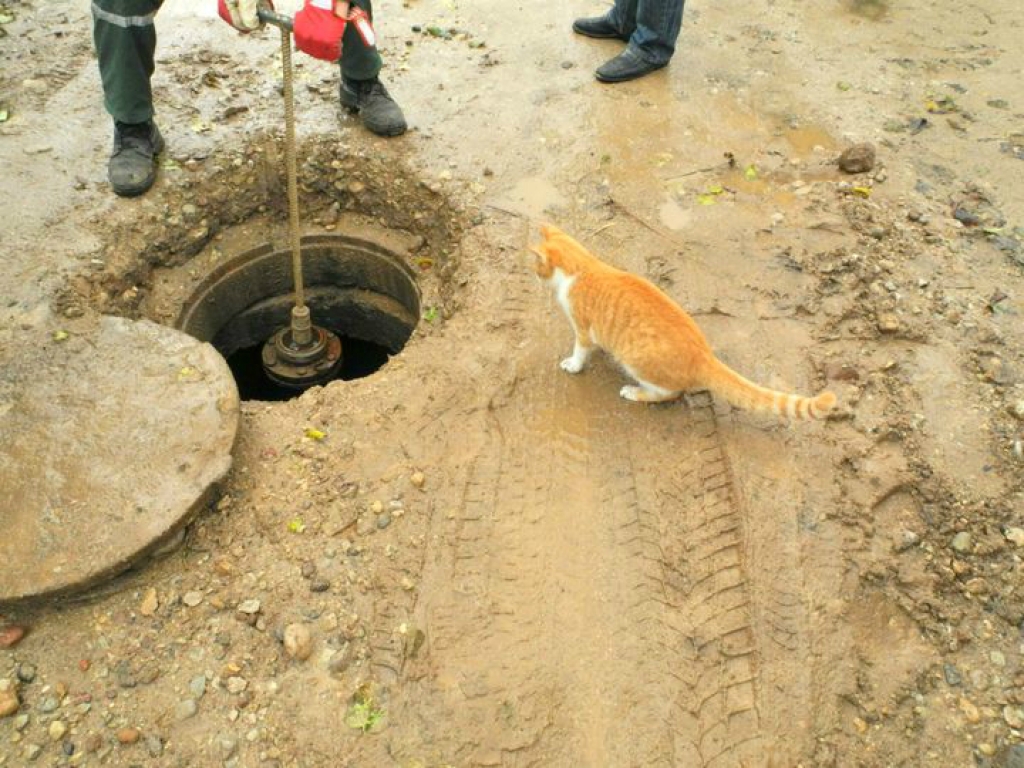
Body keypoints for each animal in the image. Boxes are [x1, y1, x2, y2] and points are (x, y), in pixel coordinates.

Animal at [532, 224, 835, 421]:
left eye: (536, 266)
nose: (534, 275)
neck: (584, 267)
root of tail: (705, 355)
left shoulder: (582, 329)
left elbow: (580, 350)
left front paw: (574, 364)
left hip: (637, 361)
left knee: (668, 393)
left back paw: (634, 392)